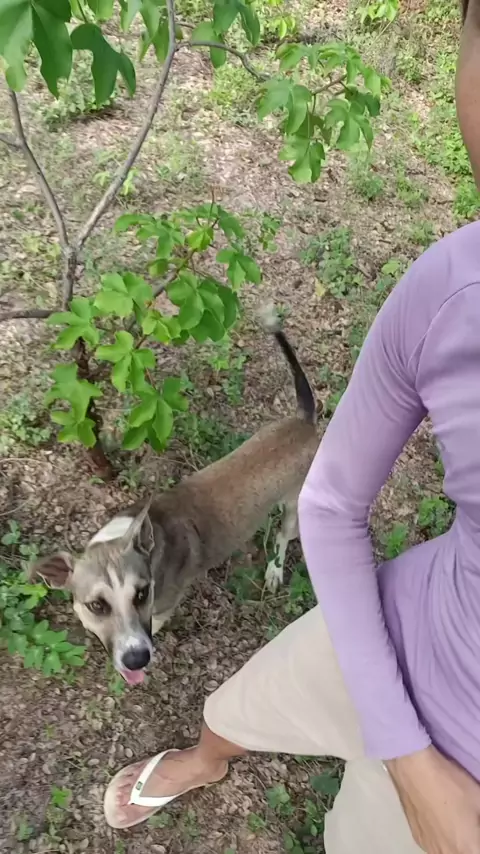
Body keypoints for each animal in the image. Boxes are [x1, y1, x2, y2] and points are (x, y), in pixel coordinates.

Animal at [33, 306, 319, 684]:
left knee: (284, 538)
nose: (136, 659)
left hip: (294, 504)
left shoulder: (162, 607)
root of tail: (305, 422)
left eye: (142, 594)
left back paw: (275, 569)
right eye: (97, 605)